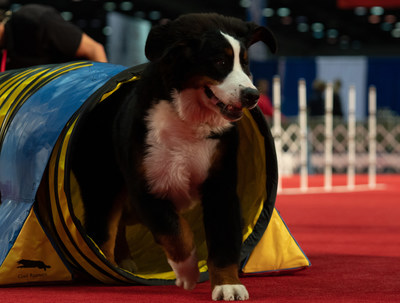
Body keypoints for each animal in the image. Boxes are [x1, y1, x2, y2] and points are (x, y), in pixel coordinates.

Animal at [71, 13, 276, 302]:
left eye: (245, 63)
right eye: (220, 61)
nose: (252, 95)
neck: (189, 120)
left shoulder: (221, 186)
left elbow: (223, 239)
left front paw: (228, 285)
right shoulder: (147, 186)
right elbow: (176, 231)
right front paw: (188, 271)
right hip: (103, 184)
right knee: (104, 230)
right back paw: (108, 267)